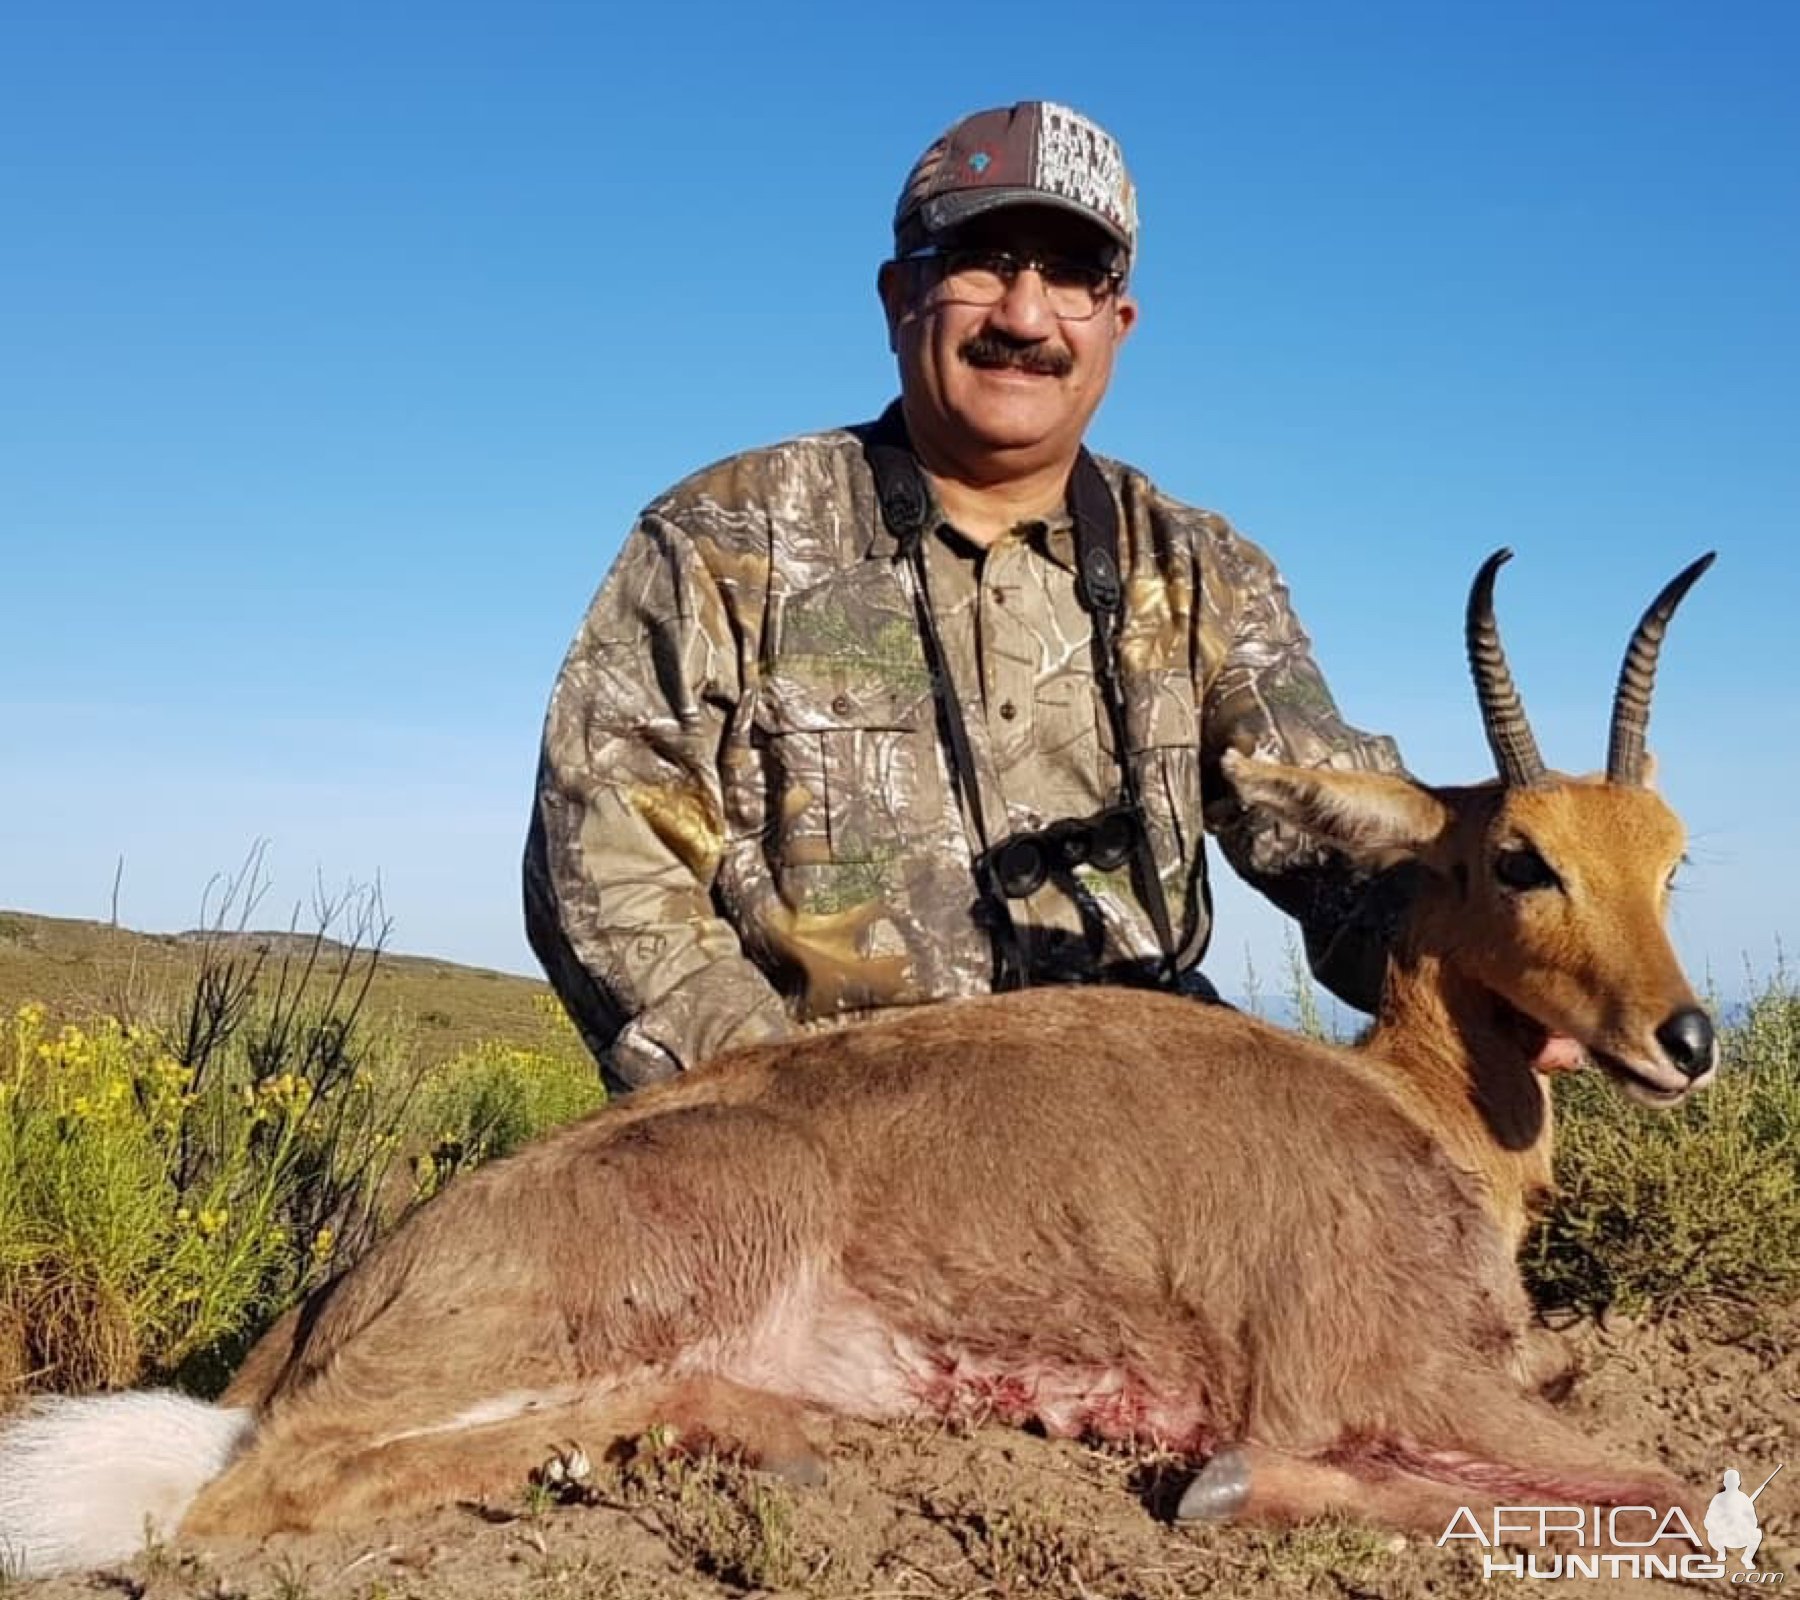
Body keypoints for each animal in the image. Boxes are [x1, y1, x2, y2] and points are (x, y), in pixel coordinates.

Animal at [0, 550, 1713, 1576]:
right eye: (1521, 857)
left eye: (1675, 858)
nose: (1687, 1042)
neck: (1416, 1112)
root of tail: (326, 1303)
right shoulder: (1381, 1376)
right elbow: (1690, 1495)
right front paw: (1226, 1487)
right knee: (254, 1491)